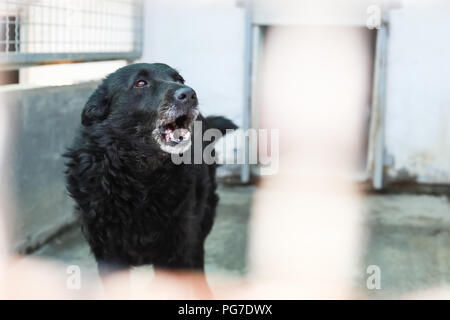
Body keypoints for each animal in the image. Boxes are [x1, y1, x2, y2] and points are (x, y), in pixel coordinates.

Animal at [65, 63, 239, 278]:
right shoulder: (109, 256)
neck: (138, 178)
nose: (190, 94)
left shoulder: (177, 250)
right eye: (141, 83)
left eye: (179, 79)